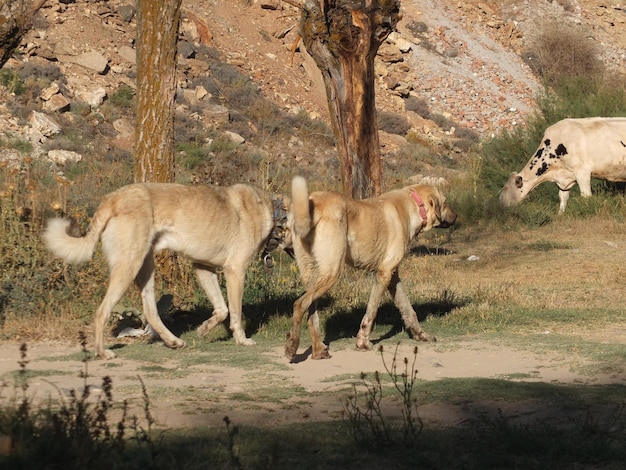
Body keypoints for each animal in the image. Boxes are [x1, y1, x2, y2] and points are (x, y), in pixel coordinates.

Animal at [40, 182, 280, 358]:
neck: (274, 212)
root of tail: (113, 198)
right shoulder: (235, 271)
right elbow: (235, 312)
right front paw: (242, 340)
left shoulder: (203, 267)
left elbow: (222, 310)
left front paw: (204, 328)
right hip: (129, 266)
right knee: (102, 312)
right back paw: (102, 353)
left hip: (145, 269)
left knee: (150, 312)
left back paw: (173, 341)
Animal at [282, 174, 454, 362]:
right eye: (445, 202)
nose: (456, 216)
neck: (414, 204)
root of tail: (313, 202)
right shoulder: (383, 274)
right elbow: (371, 312)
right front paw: (363, 342)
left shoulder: (393, 276)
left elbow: (408, 309)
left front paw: (420, 334)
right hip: (331, 273)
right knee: (299, 304)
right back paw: (292, 347)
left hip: (313, 275)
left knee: (311, 313)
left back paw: (318, 351)